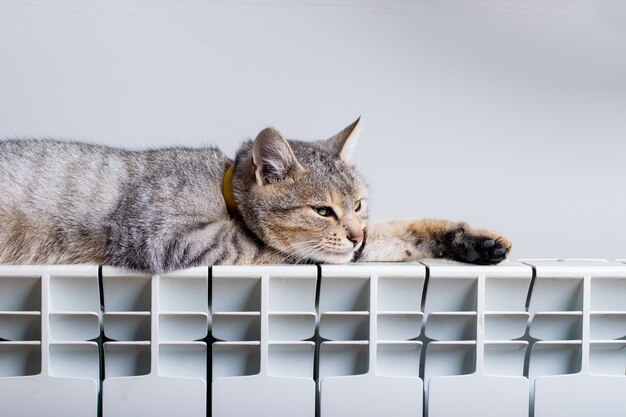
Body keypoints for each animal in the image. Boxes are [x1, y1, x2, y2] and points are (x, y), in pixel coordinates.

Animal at [0, 118, 508, 272]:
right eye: (322, 210)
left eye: (359, 205)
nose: (355, 235)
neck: (220, 186)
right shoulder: (169, 237)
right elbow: (281, 249)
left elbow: (398, 232)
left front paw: (471, 241)